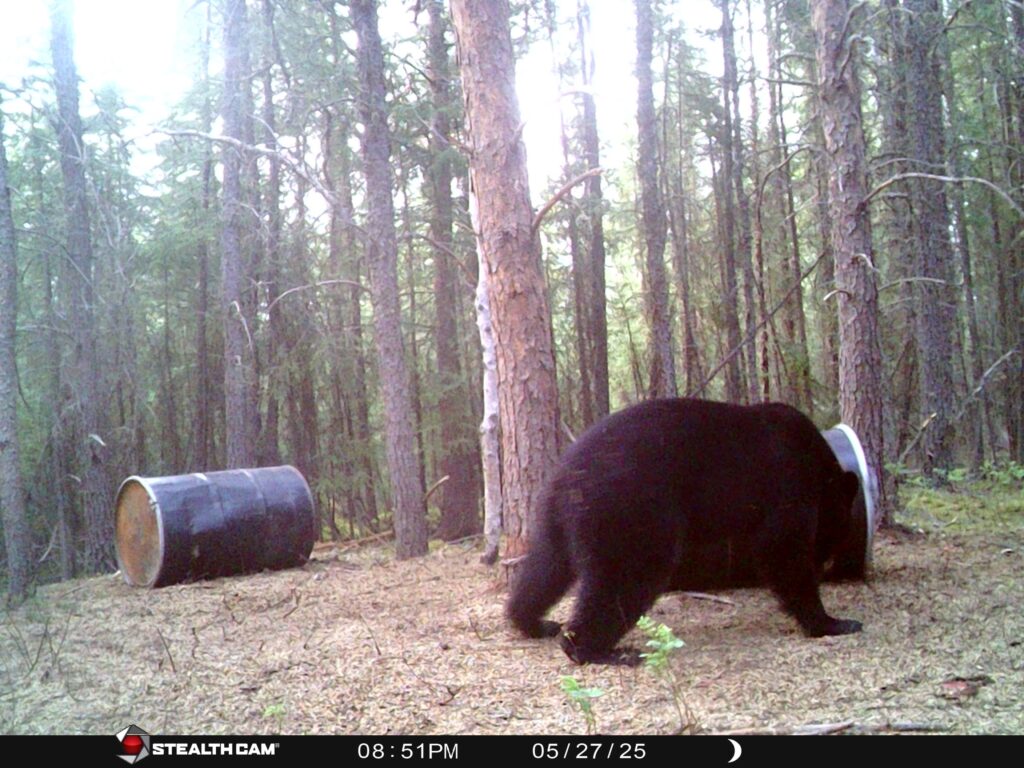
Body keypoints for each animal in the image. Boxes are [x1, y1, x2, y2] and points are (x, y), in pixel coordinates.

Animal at [507, 397, 863, 664]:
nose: (823, 562)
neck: (817, 461)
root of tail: (567, 476)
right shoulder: (788, 482)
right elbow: (782, 546)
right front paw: (833, 622)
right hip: (627, 510)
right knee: (627, 576)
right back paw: (598, 650)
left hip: (556, 520)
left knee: (544, 569)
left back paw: (533, 622)